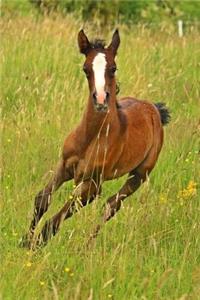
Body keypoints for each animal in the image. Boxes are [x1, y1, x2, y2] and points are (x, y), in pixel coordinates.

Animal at [21, 28, 170, 248]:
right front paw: (24, 241)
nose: (100, 99)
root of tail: (154, 109)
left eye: (113, 68)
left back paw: (87, 246)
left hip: (140, 174)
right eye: (85, 69)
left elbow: (55, 220)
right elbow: (42, 200)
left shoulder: (93, 185)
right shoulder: (64, 165)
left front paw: (37, 244)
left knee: (112, 205)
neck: (90, 137)